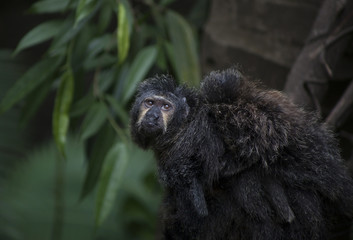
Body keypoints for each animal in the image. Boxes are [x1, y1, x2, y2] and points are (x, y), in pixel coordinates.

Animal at [129, 68, 352, 240]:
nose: (153, 116)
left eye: (166, 107)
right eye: (149, 103)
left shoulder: (184, 154)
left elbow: (198, 212)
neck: (182, 127)